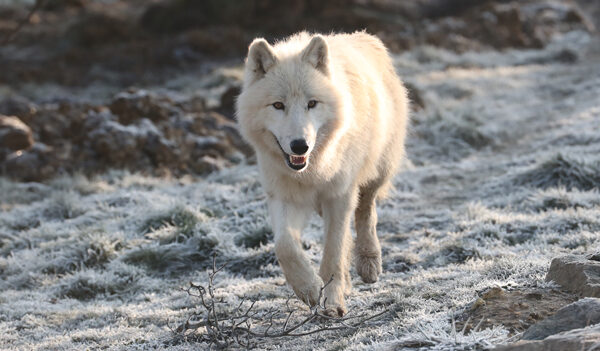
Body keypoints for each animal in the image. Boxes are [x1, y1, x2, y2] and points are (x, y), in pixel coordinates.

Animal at [237, 31, 410, 318]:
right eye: (278, 105)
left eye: (312, 103)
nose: (300, 146)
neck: (312, 169)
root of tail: (362, 36)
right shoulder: (284, 196)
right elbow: (285, 245)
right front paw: (308, 288)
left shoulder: (339, 196)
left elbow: (333, 252)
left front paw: (332, 301)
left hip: (377, 172)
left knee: (366, 212)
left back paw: (369, 262)